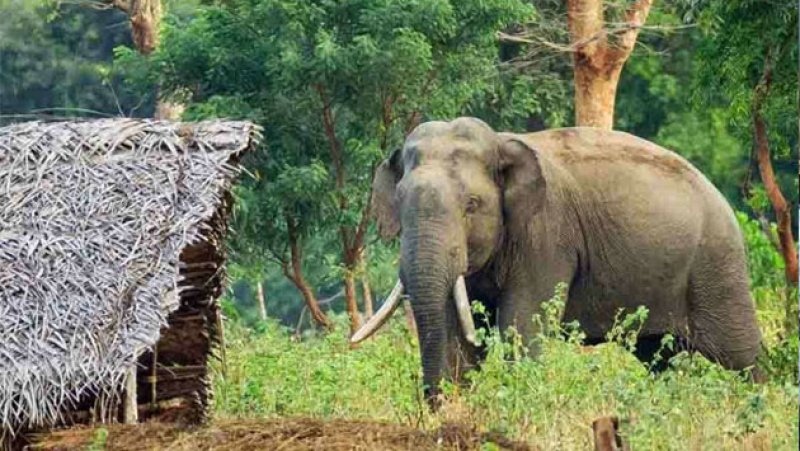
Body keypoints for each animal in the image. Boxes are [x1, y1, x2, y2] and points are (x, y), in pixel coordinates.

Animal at [351, 117, 762, 401]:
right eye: (400, 201)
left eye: (472, 204)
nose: (432, 403)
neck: (501, 142)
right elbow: (458, 333)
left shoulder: (547, 235)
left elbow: (520, 326)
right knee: (658, 357)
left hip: (716, 264)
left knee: (741, 355)